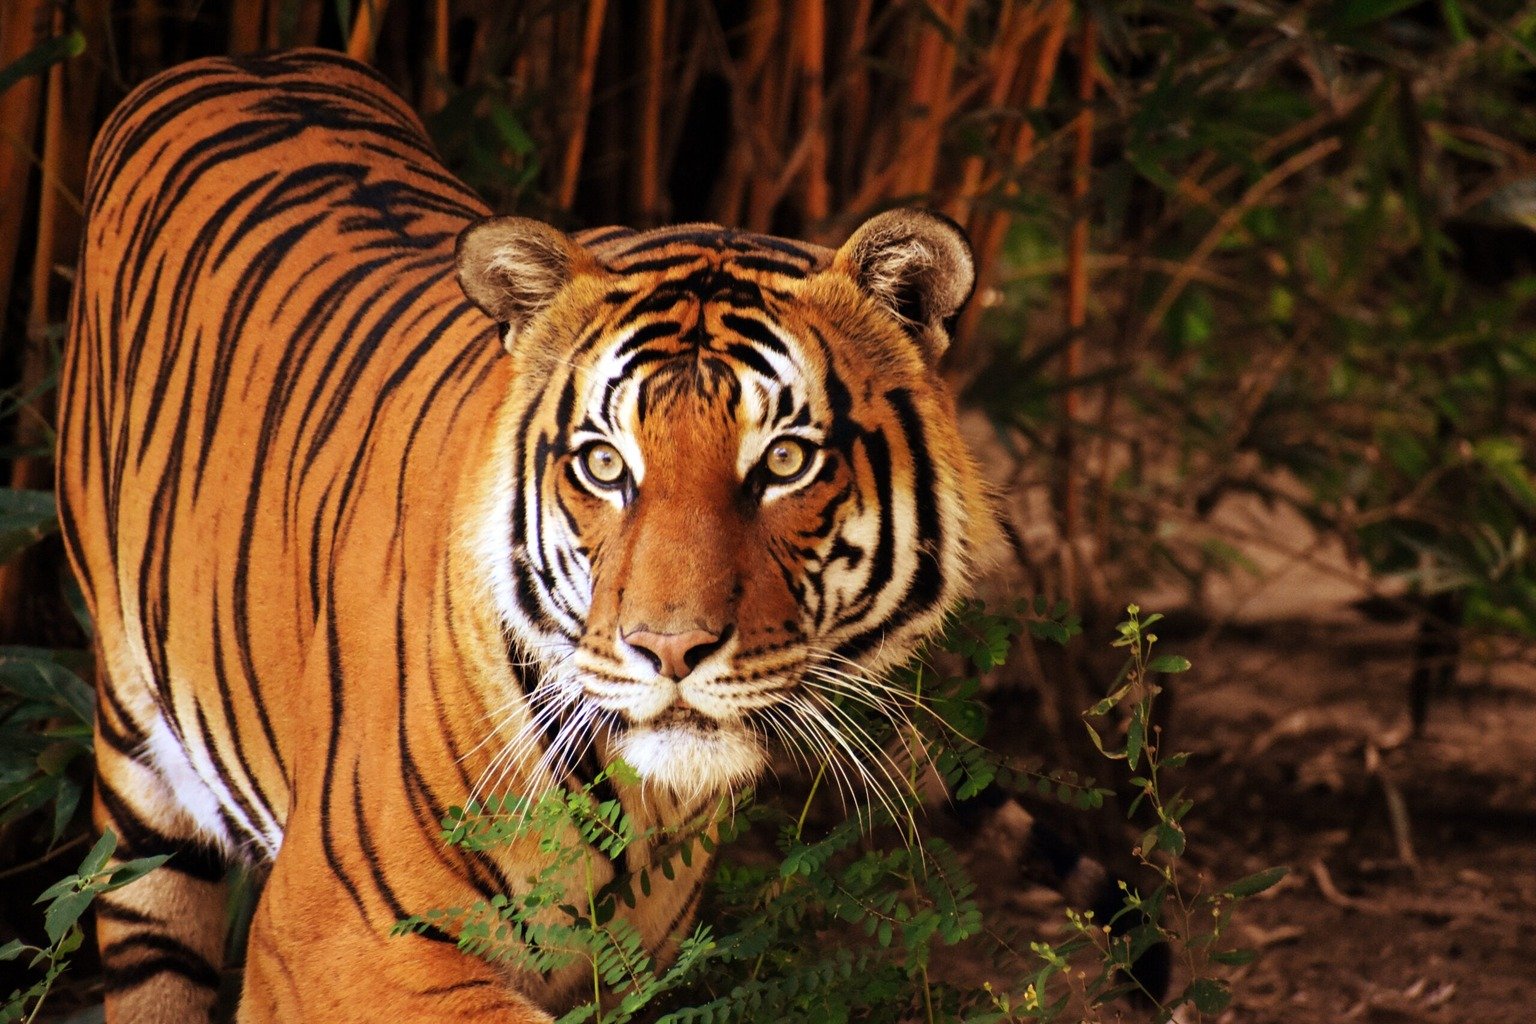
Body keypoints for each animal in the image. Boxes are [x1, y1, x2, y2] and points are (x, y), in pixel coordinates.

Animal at [57, 49, 992, 1023]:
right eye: (605, 465)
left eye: (783, 461)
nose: (671, 650)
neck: (641, 805)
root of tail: (246, 57)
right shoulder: (333, 940)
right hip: (140, 779)